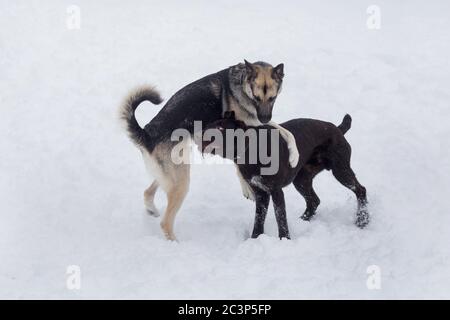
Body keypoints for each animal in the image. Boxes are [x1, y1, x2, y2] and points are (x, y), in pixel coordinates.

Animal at [201, 111, 370, 239]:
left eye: (220, 128)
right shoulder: (261, 193)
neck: (251, 149)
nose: (200, 133)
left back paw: (362, 221)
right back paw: (303, 221)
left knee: (360, 190)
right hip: (301, 180)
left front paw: (284, 239)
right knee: (314, 201)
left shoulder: (276, 191)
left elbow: (280, 218)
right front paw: (254, 239)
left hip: (340, 170)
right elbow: (259, 219)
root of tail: (338, 129)